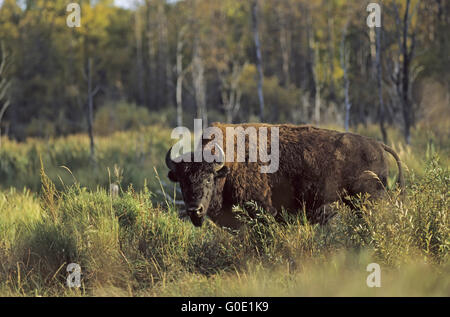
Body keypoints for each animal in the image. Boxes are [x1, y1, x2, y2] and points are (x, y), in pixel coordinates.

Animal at [165, 122, 404, 228]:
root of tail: (378, 145)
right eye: (182, 182)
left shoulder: (262, 212)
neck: (227, 168)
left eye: (208, 178)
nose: (195, 210)